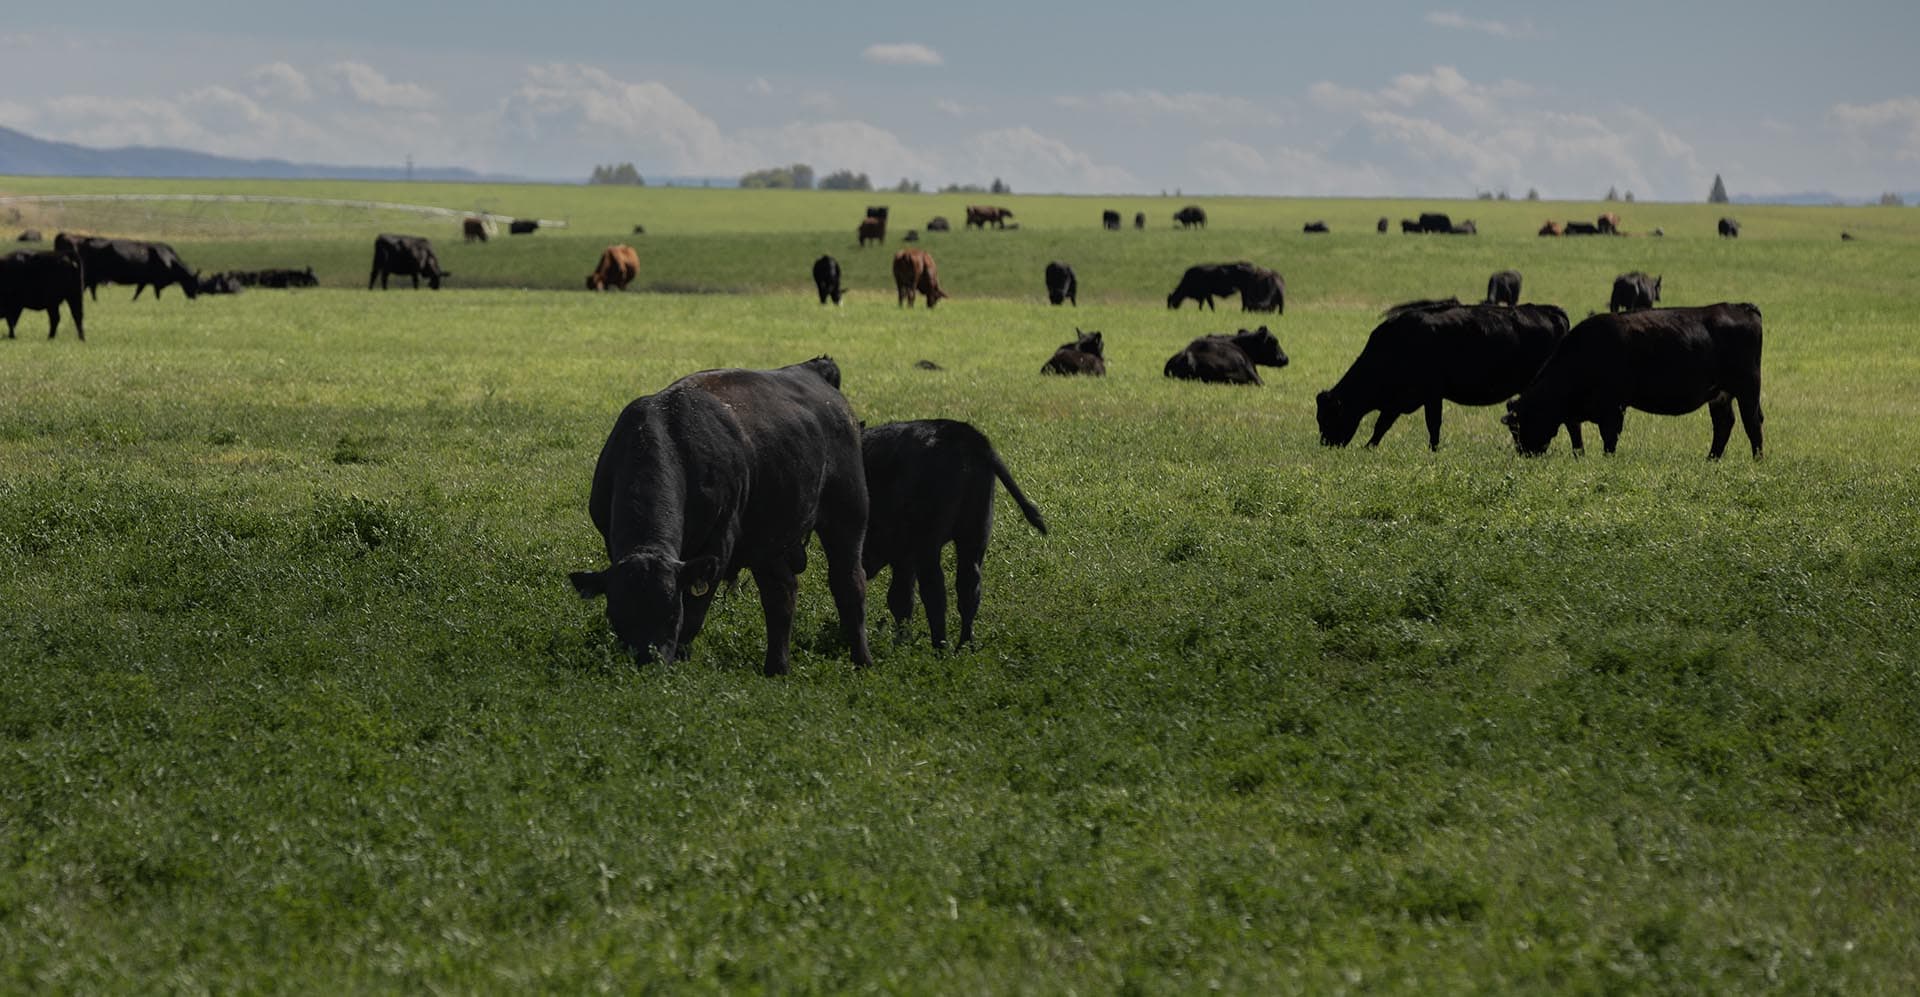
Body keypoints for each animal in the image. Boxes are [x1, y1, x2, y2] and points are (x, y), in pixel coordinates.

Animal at [570, 356, 872, 674]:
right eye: (616, 616)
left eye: (671, 614)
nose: (648, 661)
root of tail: (813, 369)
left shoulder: (717, 546)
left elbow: (694, 615)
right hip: (768, 539)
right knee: (781, 594)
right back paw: (776, 667)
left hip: (848, 514)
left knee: (849, 583)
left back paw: (861, 660)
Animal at [861, 419, 1046, 649]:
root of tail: (962, 431)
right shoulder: (903, 556)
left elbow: (899, 597)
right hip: (975, 534)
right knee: (968, 587)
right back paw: (964, 646)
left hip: (928, 544)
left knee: (935, 593)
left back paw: (940, 646)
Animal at [1316, 300, 1570, 451]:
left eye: (1329, 417)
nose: (1326, 444)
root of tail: (1550, 310)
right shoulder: (1402, 400)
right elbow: (1384, 425)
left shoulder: (1428, 395)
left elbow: (1428, 424)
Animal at [1502, 304, 1764, 459]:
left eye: (1519, 426)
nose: (1524, 454)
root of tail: (1741, 307)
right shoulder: (1577, 414)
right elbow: (1577, 437)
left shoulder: (1613, 408)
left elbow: (1609, 438)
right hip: (1720, 395)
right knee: (1724, 424)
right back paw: (1711, 459)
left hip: (1747, 389)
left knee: (1752, 422)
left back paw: (1757, 460)